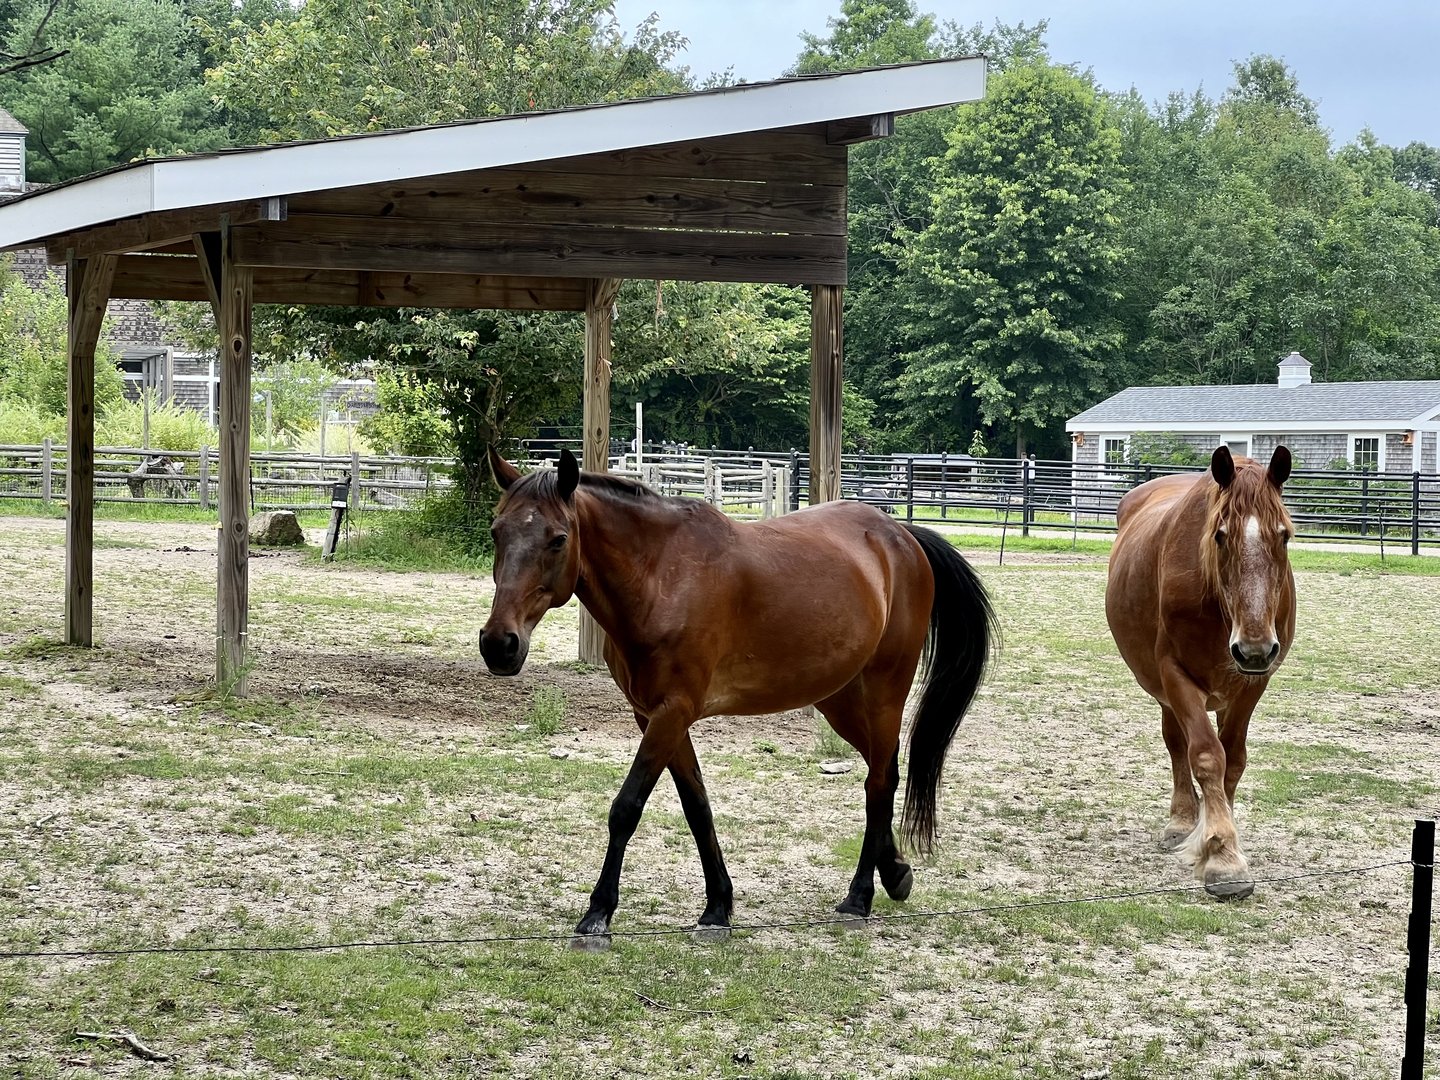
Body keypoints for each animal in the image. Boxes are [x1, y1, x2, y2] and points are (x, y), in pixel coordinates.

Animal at [480, 448, 997, 948]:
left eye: (558, 539)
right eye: (496, 532)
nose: (499, 644)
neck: (661, 577)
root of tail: (901, 535)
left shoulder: (672, 712)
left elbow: (626, 808)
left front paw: (597, 916)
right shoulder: (654, 717)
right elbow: (697, 808)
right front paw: (717, 908)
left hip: (884, 692)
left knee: (879, 783)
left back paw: (860, 898)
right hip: (840, 701)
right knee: (882, 773)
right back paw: (895, 874)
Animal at [1105, 445, 1296, 899]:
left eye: (1283, 535)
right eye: (1220, 536)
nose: (1254, 648)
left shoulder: (1252, 684)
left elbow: (1233, 761)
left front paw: (1217, 839)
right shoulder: (1175, 675)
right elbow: (1207, 756)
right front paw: (1222, 855)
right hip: (1164, 690)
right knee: (1177, 745)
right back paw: (1180, 820)